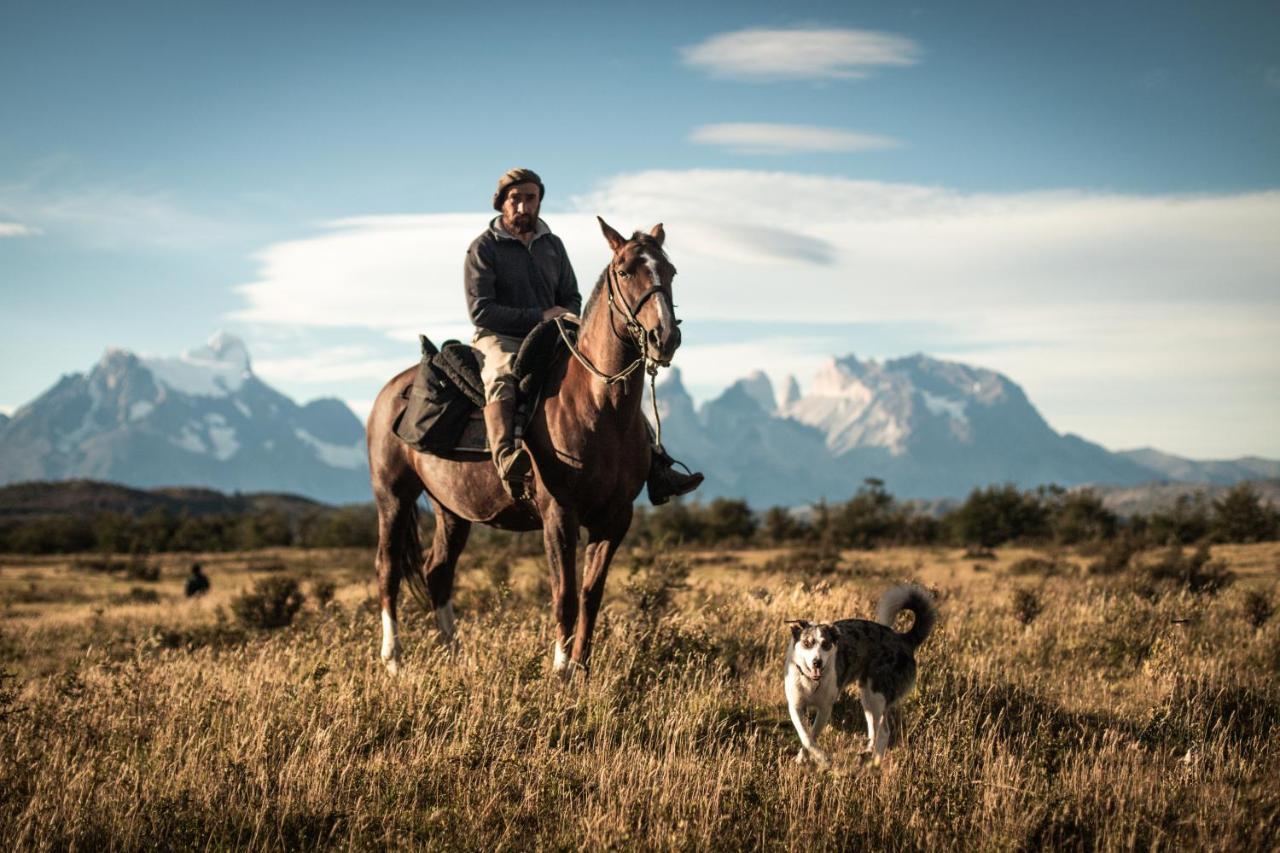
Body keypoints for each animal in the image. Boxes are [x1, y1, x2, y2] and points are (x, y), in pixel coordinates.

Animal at [363, 217, 680, 676]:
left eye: (669, 271)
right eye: (623, 271)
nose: (664, 337)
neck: (601, 408)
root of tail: (390, 390)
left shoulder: (615, 518)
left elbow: (591, 596)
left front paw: (582, 668)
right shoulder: (558, 515)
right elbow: (564, 595)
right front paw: (561, 670)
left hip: (451, 509)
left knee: (438, 571)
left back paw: (455, 655)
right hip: (393, 496)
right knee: (387, 568)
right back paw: (394, 661)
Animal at [783, 584, 936, 763]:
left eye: (826, 644)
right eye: (807, 643)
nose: (817, 662)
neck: (811, 681)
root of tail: (904, 639)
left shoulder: (825, 708)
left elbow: (812, 736)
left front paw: (820, 758)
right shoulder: (796, 706)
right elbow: (805, 736)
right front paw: (804, 758)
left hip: (877, 694)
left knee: (884, 731)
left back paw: (875, 762)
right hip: (867, 696)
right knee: (873, 728)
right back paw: (866, 753)